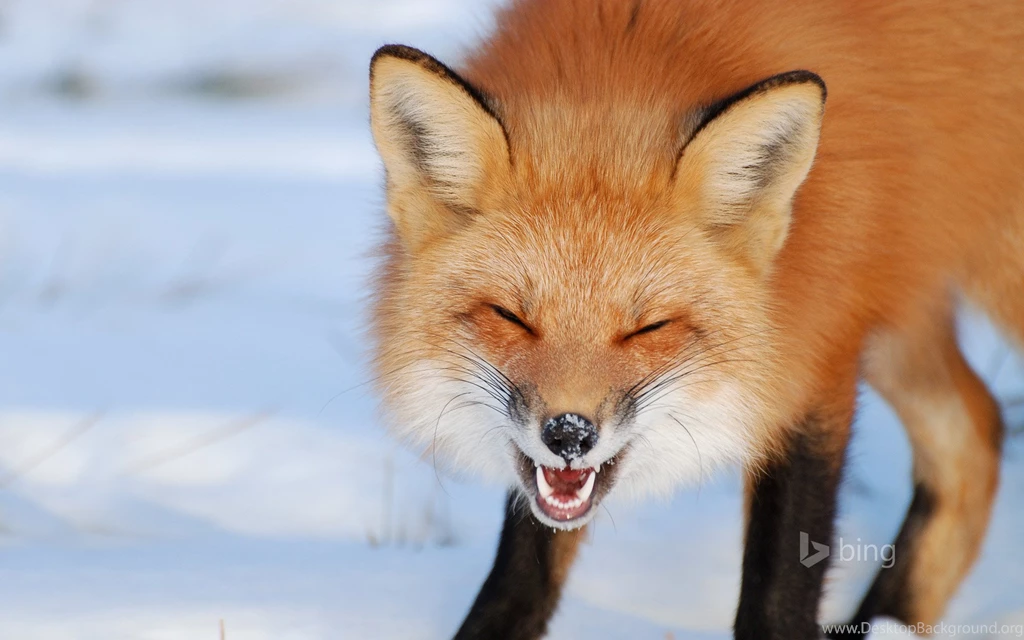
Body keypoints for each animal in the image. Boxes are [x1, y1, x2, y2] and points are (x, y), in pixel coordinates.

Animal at [366, 0, 1024, 638]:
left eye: (648, 327)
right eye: (511, 317)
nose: (570, 435)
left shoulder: (812, 355)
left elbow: (777, 597)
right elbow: (520, 581)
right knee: (976, 433)